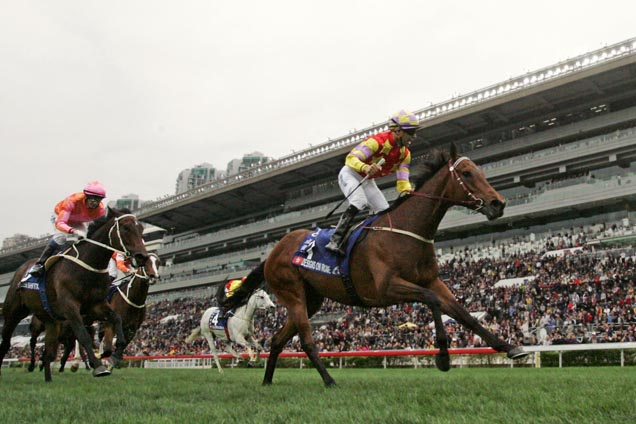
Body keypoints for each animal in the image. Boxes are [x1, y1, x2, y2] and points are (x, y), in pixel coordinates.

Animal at [0, 207, 154, 382]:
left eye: (141, 229)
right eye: (126, 228)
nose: (142, 257)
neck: (87, 267)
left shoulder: (97, 305)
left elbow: (116, 320)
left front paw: (114, 356)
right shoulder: (70, 307)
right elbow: (83, 335)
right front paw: (99, 365)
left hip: (51, 320)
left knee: (48, 351)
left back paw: (48, 376)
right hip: (14, 312)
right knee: (12, 342)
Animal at [226, 146, 528, 388]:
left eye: (479, 171)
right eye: (466, 173)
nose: (498, 204)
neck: (407, 232)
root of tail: (273, 251)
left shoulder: (432, 280)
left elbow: (463, 314)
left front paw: (510, 347)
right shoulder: (385, 288)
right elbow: (432, 301)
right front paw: (442, 356)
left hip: (311, 299)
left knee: (277, 339)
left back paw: (267, 381)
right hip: (293, 294)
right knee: (307, 340)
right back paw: (329, 380)